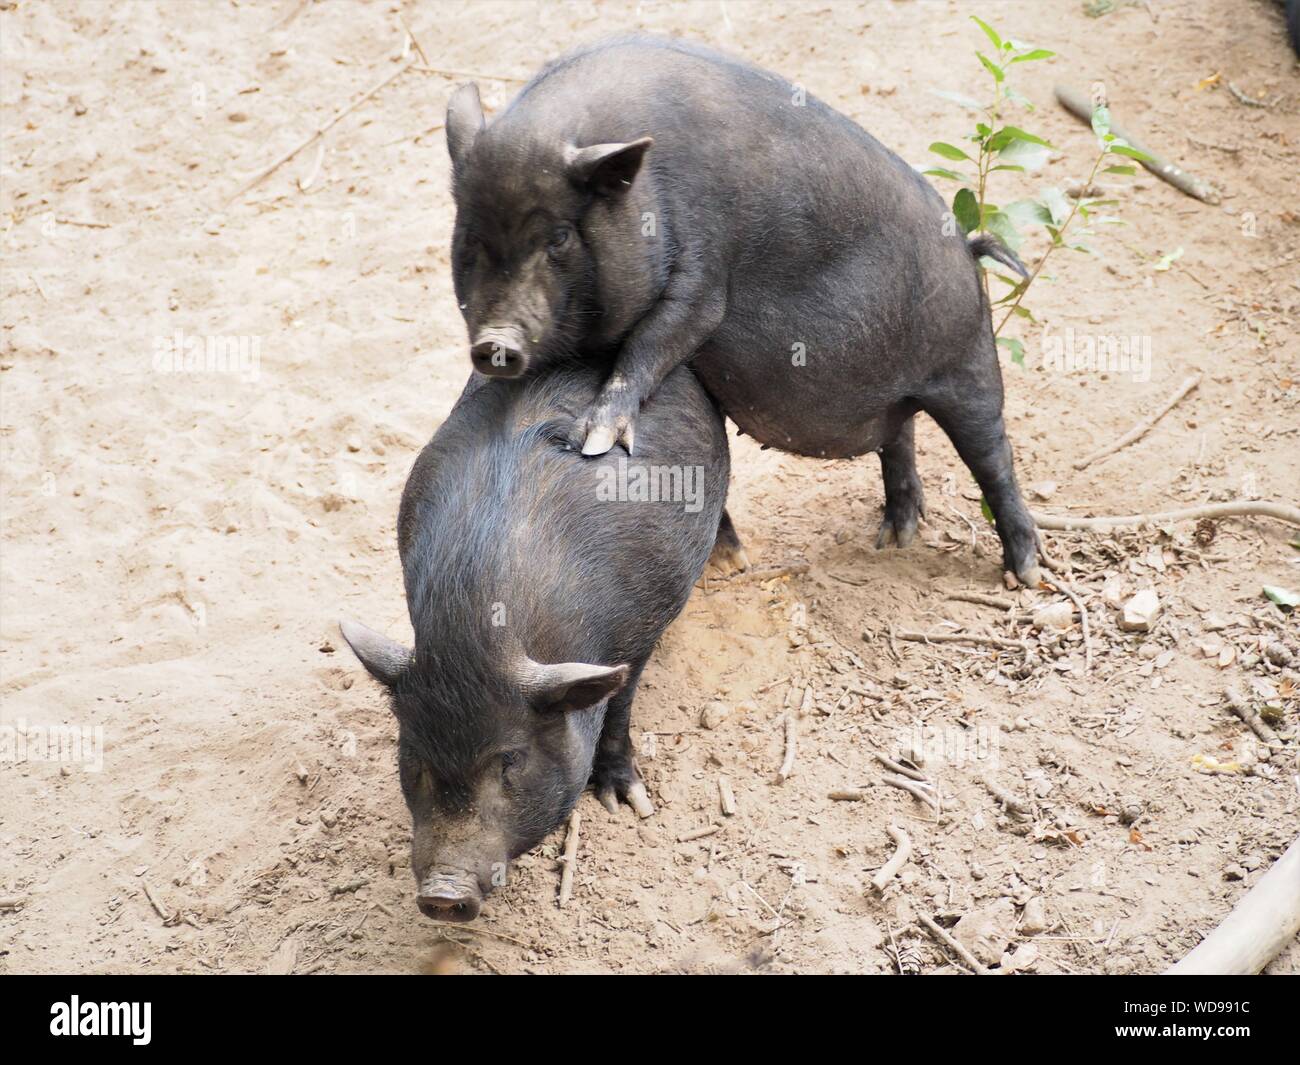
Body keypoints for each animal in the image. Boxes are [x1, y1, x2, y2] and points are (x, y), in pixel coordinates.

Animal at [340, 361, 733, 920]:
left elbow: (620, 706)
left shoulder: (641, 632)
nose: (442, 894)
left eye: (511, 758)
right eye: (413, 754)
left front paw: (627, 803)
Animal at [452, 37, 1040, 587]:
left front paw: (591, 442)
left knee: (993, 455)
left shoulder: (703, 273)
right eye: (472, 238)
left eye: (558, 236)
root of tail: (968, 248)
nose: (495, 343)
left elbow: (660, 337)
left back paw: (1027, 573)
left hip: (970, 361)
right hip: (905, 392)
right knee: (901, 436)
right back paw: (893, 540)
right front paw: (734, 562)